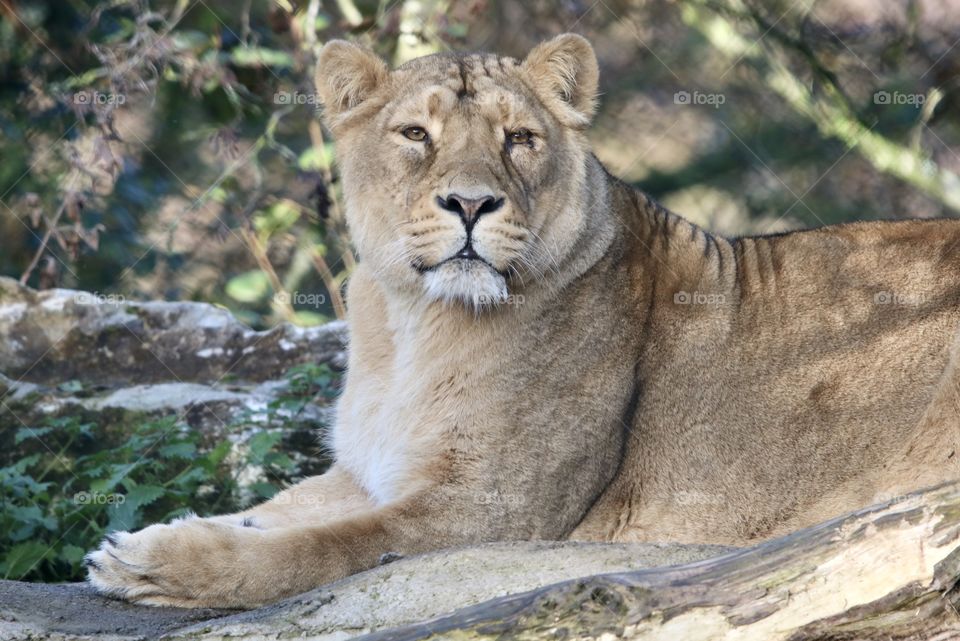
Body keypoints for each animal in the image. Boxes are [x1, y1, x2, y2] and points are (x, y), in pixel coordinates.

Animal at [86, 34, 960, 608]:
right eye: (415, 134)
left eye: (520, 138)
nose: (471, 203)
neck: (409, 326)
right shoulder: (367, 471)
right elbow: (274, 512)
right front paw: (151, 538)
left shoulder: (497, 509)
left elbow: (320, 547)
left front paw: (160, 569)